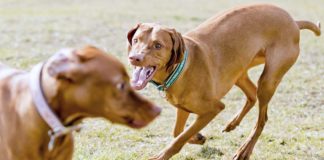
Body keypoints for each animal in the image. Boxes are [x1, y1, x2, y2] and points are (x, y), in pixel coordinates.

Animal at [127, 3, 322, 160]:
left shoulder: (213, 108)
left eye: (158, 45)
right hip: (239, 72)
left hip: (269, 78)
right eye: (136, 40)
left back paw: (244, 150)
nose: (134, 58)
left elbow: (180, 137)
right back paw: (233, 124)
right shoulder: (183, 108)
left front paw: (161, 155)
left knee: (262, 120)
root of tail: (294, 22)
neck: (179, 68)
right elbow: (178, 132)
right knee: (252, 94)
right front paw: (198, 137)